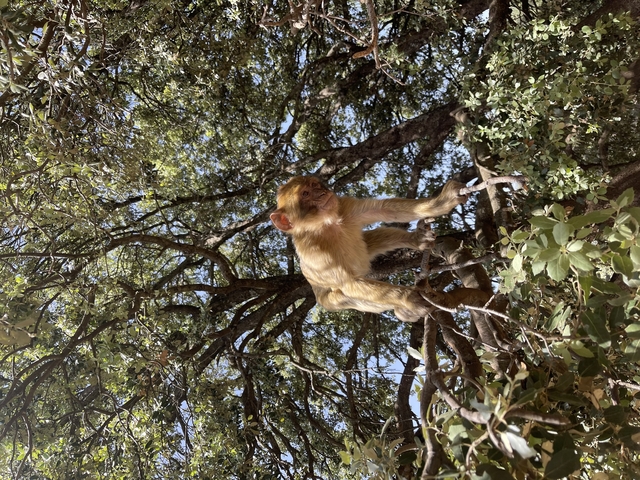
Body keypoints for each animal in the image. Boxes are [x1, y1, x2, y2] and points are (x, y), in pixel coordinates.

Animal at [270, 176, 468, 322]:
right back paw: (402, 308)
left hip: (365, 252)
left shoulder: (343, 206)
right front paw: (408, 298)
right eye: (305, 193)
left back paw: (415, 239)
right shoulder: (314, 254)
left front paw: (442, 202)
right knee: (345, 295)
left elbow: (384, 210)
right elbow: (349, 283)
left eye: (314, 185)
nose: (322, 192)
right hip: (327, 301)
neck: (326, 225)